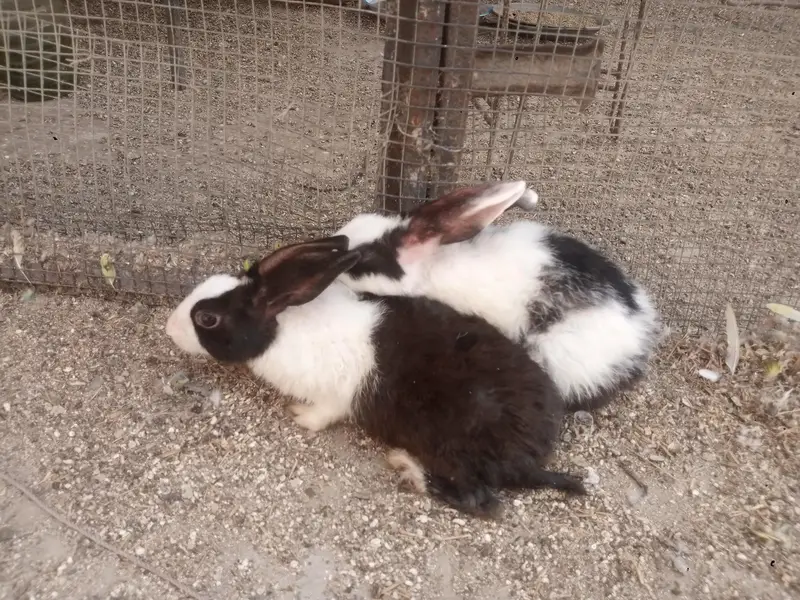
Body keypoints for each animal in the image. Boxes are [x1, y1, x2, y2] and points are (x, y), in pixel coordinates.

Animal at [165, 236, 586, 518]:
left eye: (207, 319)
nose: (168, 329)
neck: (281, 327)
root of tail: (530, 460)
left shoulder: (333, 397)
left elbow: (321, 415)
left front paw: (298, 415)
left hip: (455, 448)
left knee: (479, 500)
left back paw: (408, 467)